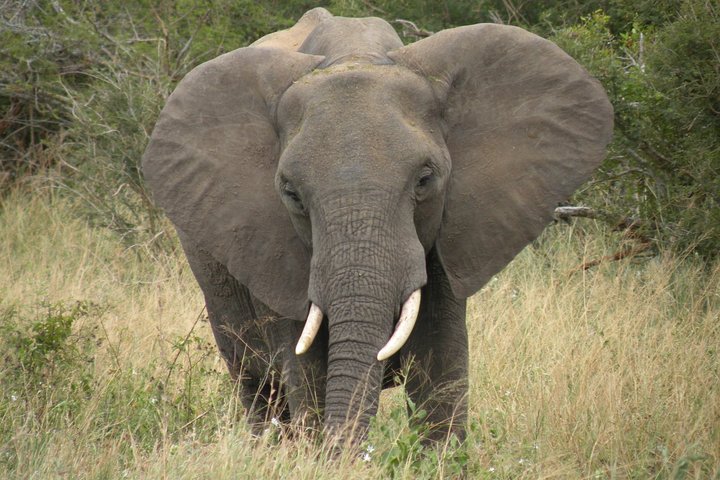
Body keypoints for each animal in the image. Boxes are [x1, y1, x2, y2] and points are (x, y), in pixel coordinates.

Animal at [141, 8, 613, 442]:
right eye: (291, 193)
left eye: (425, 179)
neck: (356, 54)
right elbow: (307, 372)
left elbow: (441, 367)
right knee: (259, 391)